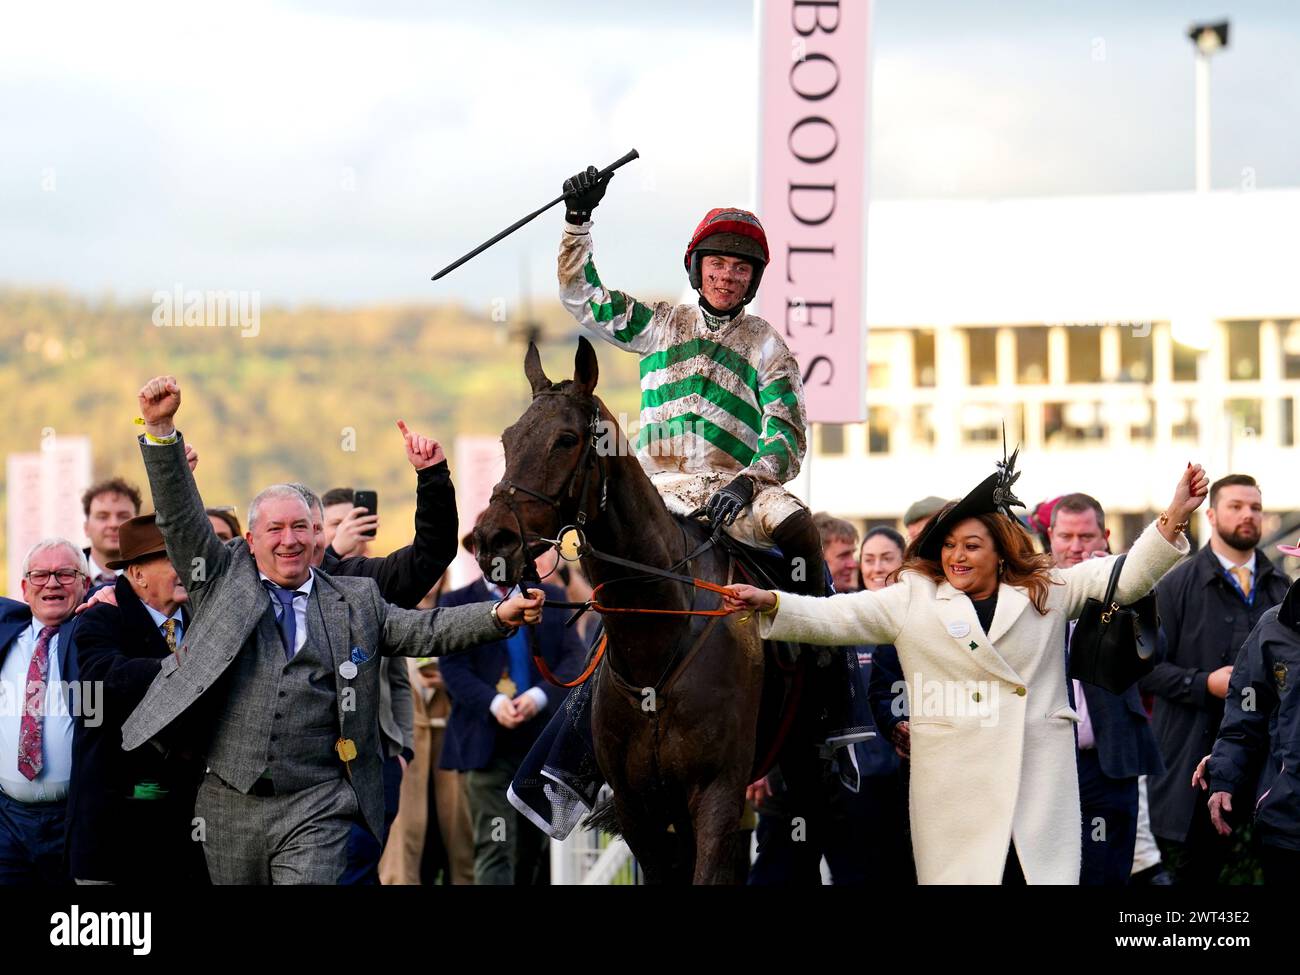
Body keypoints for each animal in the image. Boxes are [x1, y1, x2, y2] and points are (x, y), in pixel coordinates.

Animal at [473, 335, 806, 883]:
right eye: (506, 439)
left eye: (566, 439)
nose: (490, 540)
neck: (657, 643)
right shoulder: (638, 808)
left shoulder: (716, 794)